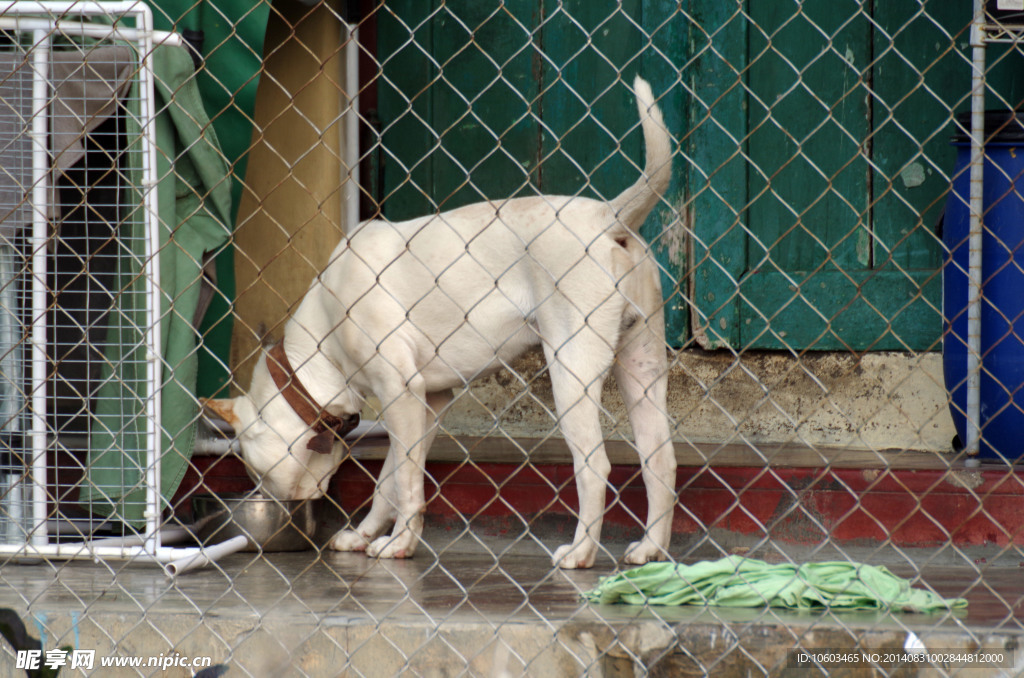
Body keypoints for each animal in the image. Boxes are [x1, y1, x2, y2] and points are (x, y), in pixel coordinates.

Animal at [203, 76, 675, 569]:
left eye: (254, 470)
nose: (269, 503)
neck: (318, 352)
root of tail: (608, 215)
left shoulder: (401, 393)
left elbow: (408, 484)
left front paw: (399, 545)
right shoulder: (426, 404)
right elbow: (390, 479)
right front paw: (367, 535)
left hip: (571, 375)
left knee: (594, 467)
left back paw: (581, 552)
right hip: (641, 374)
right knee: (660, 461)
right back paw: (650, 549)